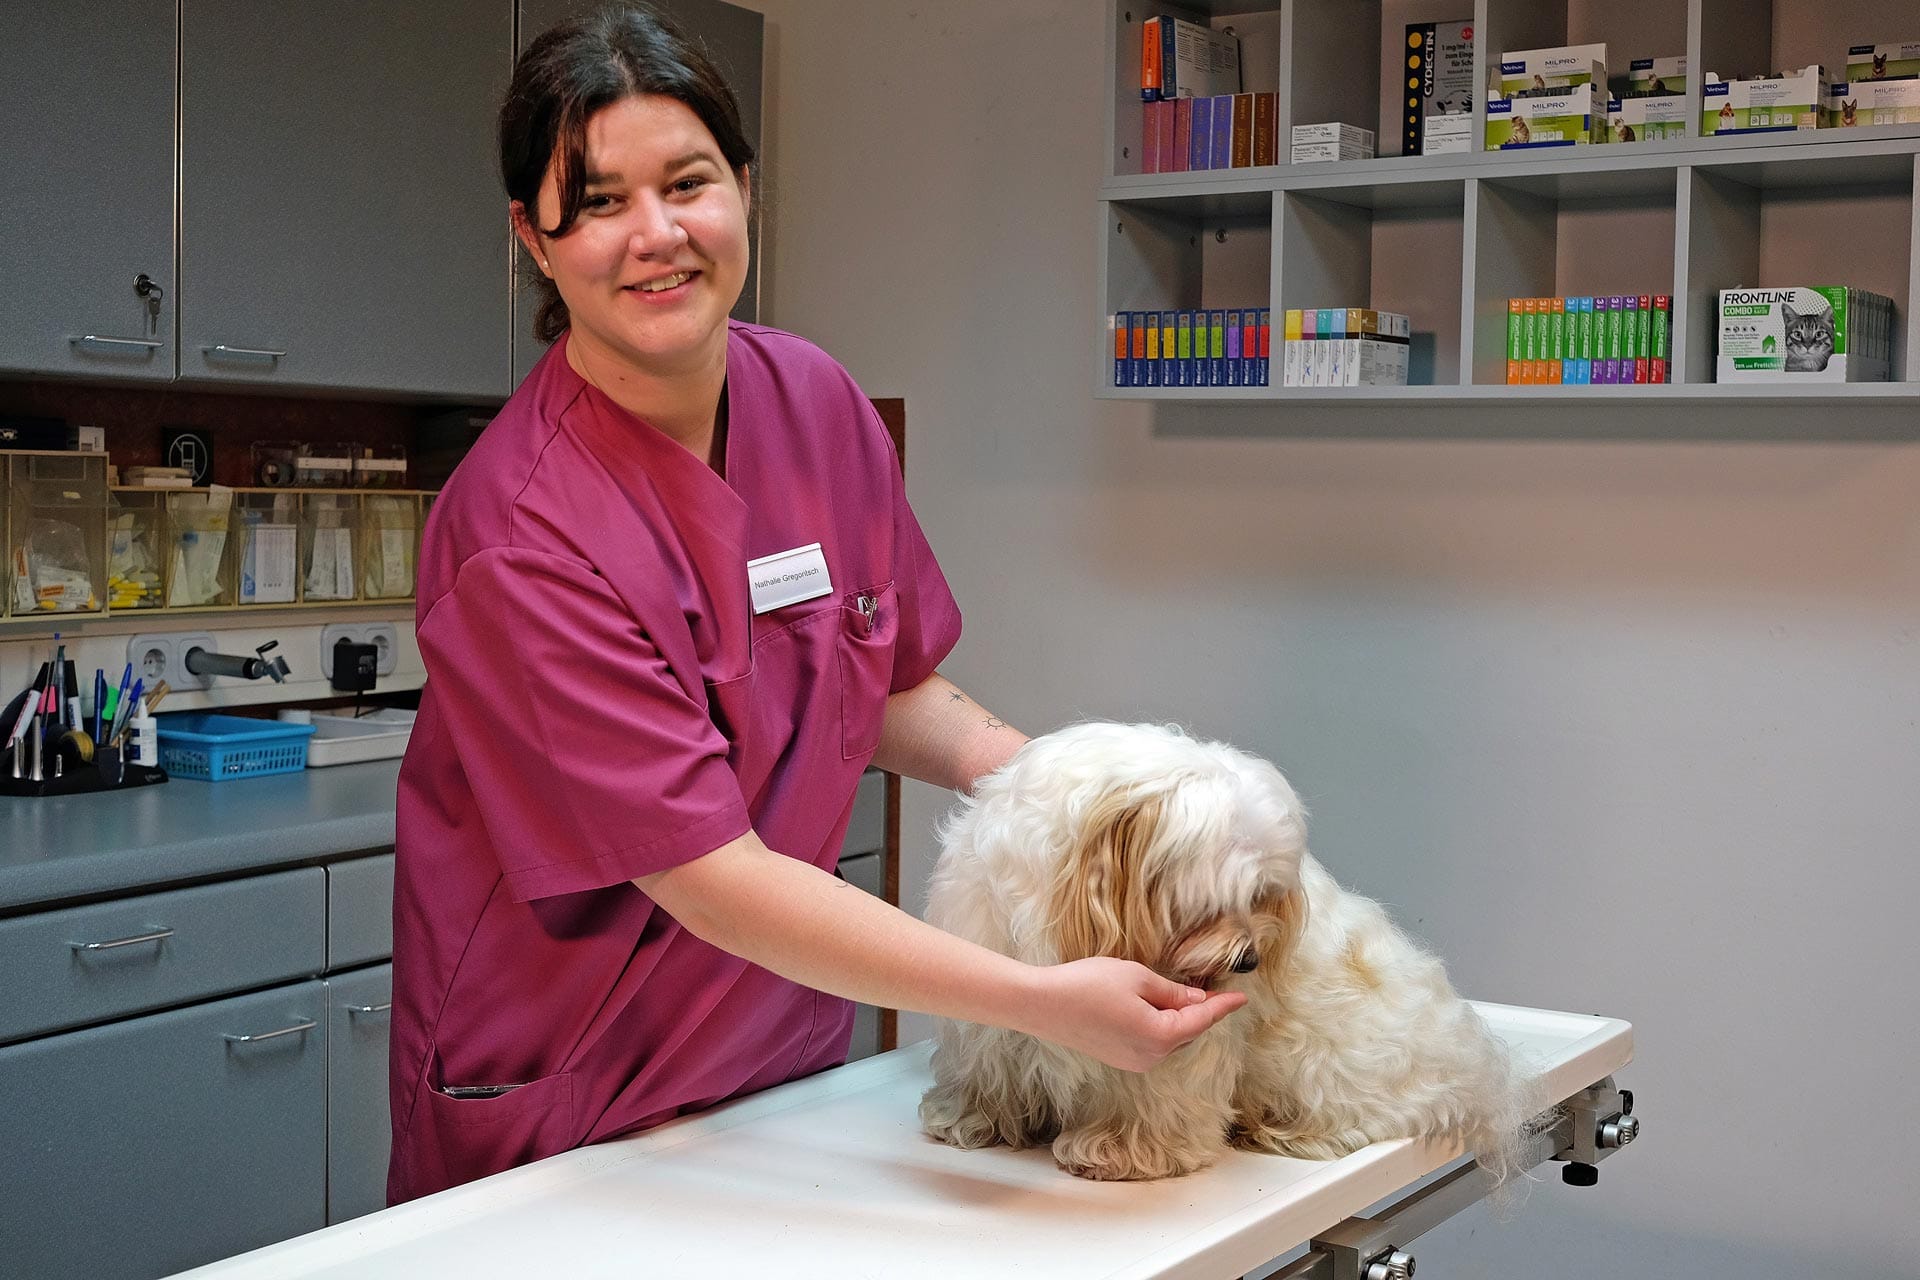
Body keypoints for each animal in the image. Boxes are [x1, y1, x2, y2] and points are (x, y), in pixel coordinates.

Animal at [921, 725, 1536, 1189]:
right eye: (1207, 906)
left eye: (1261, 897)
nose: (1249, 961)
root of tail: (1480, 1068)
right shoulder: (997, 995)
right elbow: (988, 1064)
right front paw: (970, 1118)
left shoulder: (1181, 1044)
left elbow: (1150, 1091)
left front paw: (1124, 1151)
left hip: (1331, 1063)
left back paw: (1284, 1131)